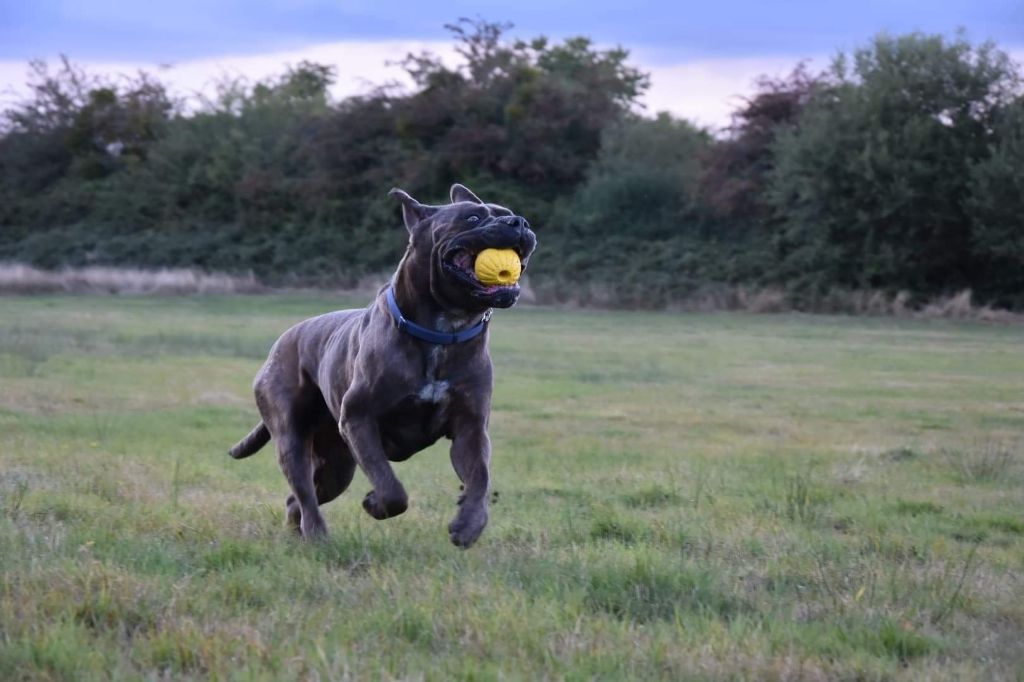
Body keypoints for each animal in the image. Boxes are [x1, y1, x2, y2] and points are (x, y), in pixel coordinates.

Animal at [229, 184, 540, 548]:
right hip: (292, 437)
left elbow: (480, 478)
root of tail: (279, 344)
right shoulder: (359, 418)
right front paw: (375, 504)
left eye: (507, 211)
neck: (444, 329)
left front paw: (468, 525)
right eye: (473, 218)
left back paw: (300, 533)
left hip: (336, 466)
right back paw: (317, 535)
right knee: (303, 490)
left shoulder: (470, 429)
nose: (519, 222)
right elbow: (391, 487)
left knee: (298, 499)